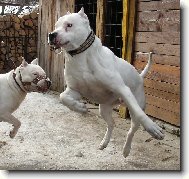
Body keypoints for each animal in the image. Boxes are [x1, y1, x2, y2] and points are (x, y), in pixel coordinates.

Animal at [48, 7, 164, 157]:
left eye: (69, 25)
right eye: (56, 26)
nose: (51, 35)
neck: (81, 56)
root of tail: (139, 77)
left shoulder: (122, 89)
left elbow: (140, 113)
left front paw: (152, 128)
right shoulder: (75, 90)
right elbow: (63, 98)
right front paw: (79, 107)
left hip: (133, 106)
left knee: (132, 128)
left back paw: (126, 149)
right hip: (103, 108)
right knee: (111, 124)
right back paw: (105, 142)